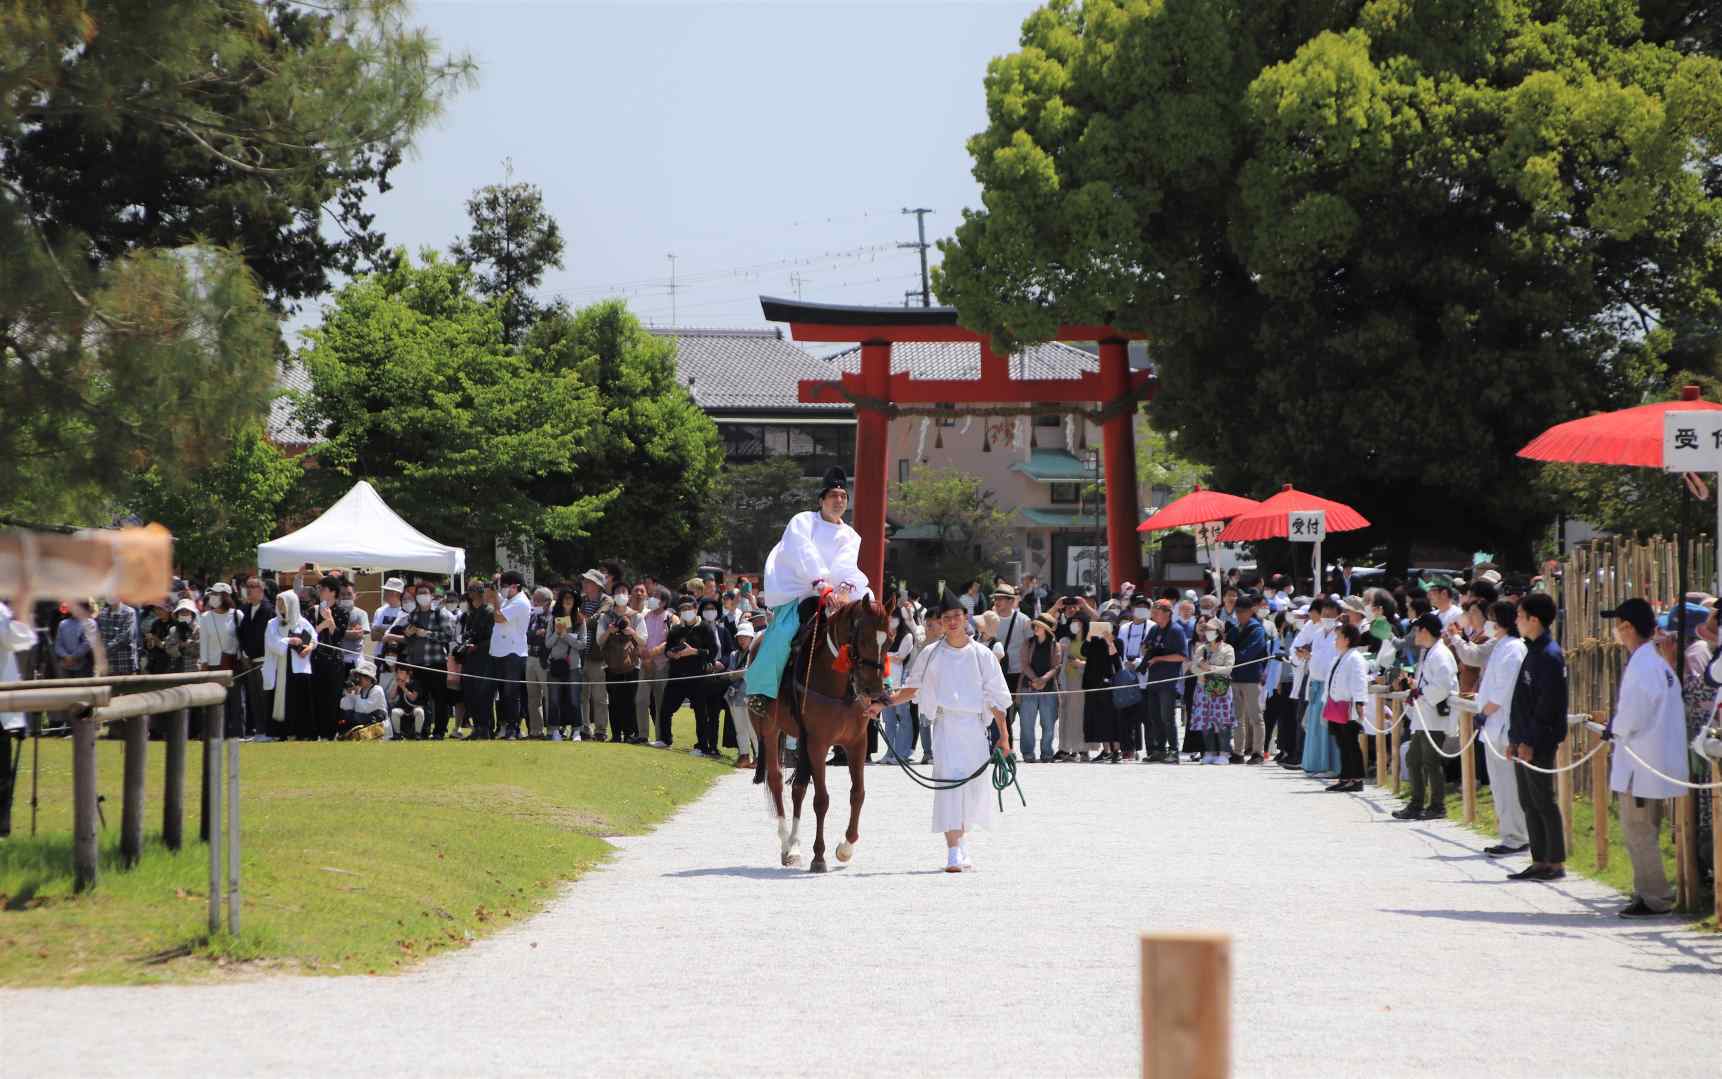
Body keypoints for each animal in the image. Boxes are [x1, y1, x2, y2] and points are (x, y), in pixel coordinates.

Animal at [750, 595, 888, 874]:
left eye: (888, 640)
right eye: (865, 639)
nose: (875, 691)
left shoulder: (856, 743)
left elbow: (858, 793)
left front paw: (846, 847)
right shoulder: (818, 742)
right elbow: (821, 800)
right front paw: (819, 856)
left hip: (802, 740)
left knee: (798, 788)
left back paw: (794, 846)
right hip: (771, 730)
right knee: (776, 780)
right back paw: (786, 844)